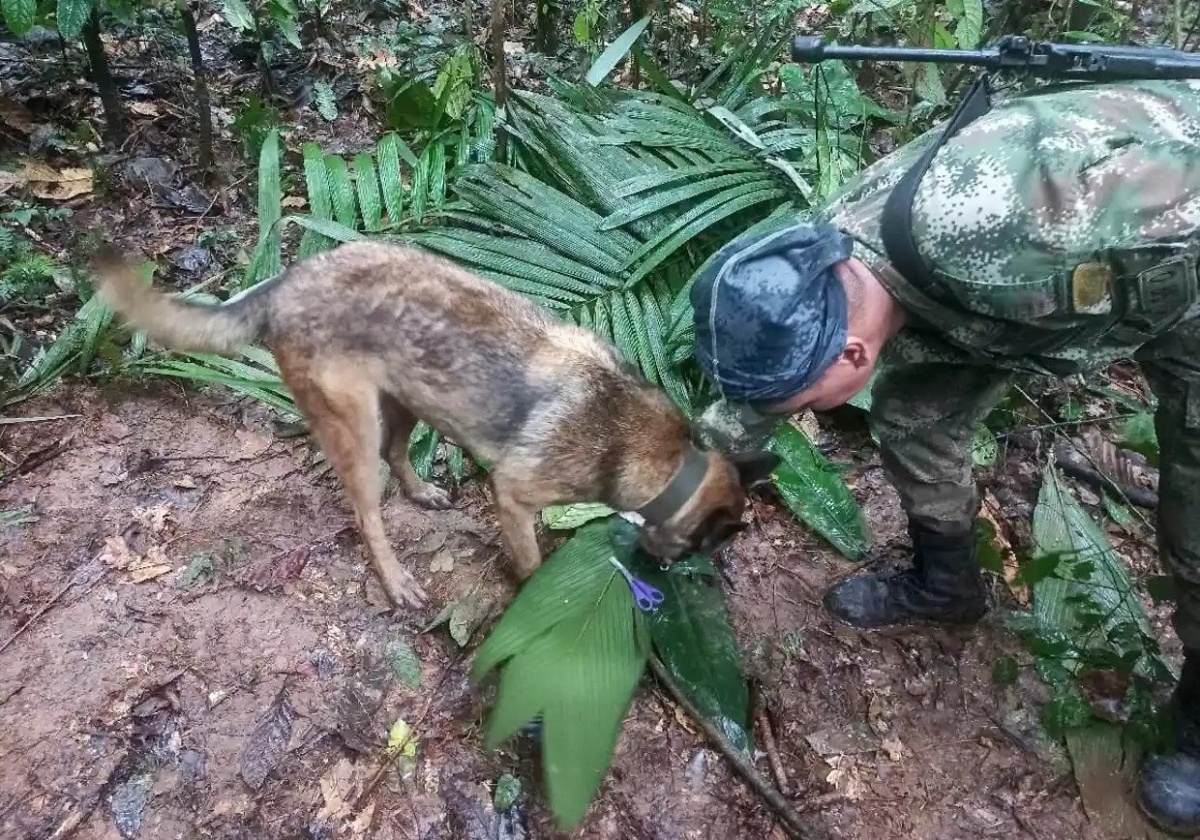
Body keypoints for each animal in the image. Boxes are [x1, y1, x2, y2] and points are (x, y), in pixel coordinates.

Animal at [96, 240, 787, 614]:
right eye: (702, 548)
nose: (665, 576)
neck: (666, 459)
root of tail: (284, 282)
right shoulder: (514, 495)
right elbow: (531, 562)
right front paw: (537, 597)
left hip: (406, 400)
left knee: (400, 455)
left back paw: (422, 491)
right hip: (356, 428)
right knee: (367, 512)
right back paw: (396, 579)